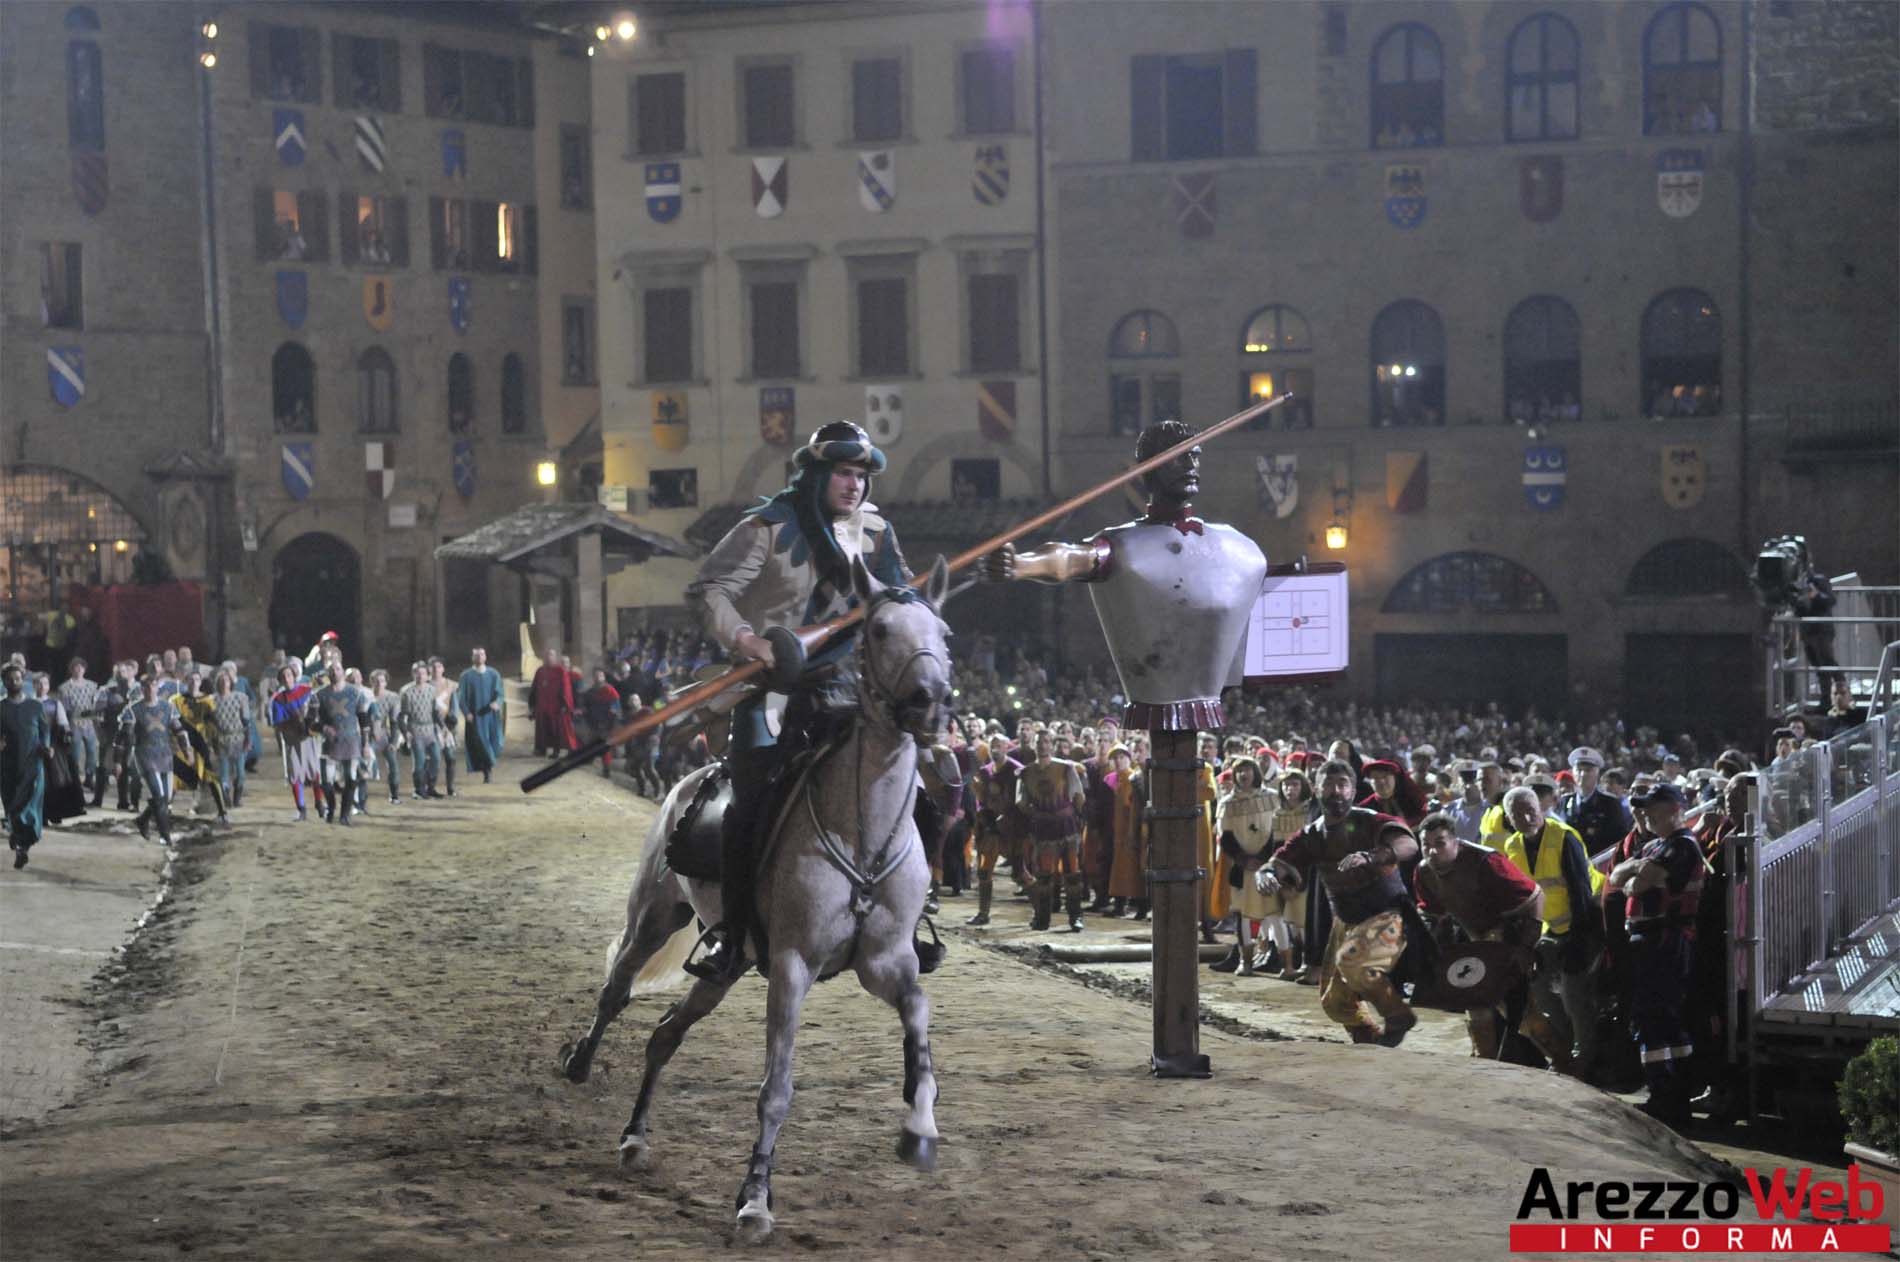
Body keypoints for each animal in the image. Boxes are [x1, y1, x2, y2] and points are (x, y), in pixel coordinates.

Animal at [558, 554, 950, 1239]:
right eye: (879, 630)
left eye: (945, 634)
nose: (929, 703)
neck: (862, 830)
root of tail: (690, 777)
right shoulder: (792, 966)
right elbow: (776, 1088)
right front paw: (755, 1199)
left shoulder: (888, 962)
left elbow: (920, 1028)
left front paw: (918, 1131)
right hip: (655, 918)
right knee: (616, 990)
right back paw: (581, 1062)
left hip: (731, 962)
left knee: (665, 1034)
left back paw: (635, 1138)